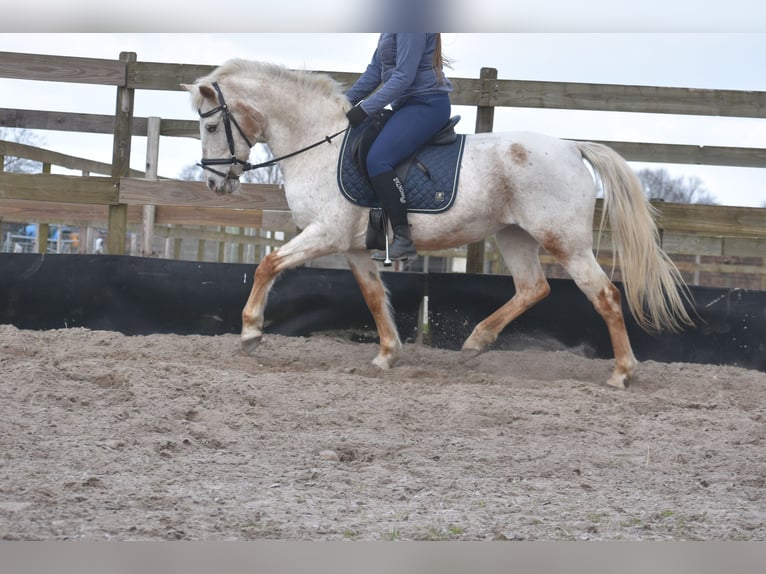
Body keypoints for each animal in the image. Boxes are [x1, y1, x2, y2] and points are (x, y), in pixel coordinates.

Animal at [182, 59, 696, 392]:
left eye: (210, 126)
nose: (214, 183)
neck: (318, 143)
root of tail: (571, 147)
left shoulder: (325, 234)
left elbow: (268, 264)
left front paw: (250, 333)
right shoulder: (353, 246)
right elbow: (373, 296)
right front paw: (387, 355)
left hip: (563, 240)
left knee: (604, 294)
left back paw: (621, 373)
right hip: (513, 235)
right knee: (533, 288)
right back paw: (476, 341)